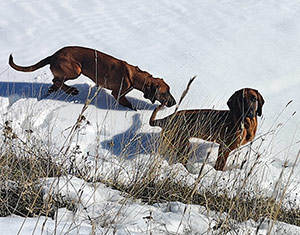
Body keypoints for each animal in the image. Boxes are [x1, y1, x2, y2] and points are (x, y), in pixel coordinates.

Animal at [8, 46, 176, 110]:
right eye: (164, 93)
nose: (174, 103)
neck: (136, 76)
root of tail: (53, 56)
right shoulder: (118, 93)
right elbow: (128, 104)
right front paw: (135, 109)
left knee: (56, 82)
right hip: (75, 69)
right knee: (57, 80)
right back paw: (71, 91)